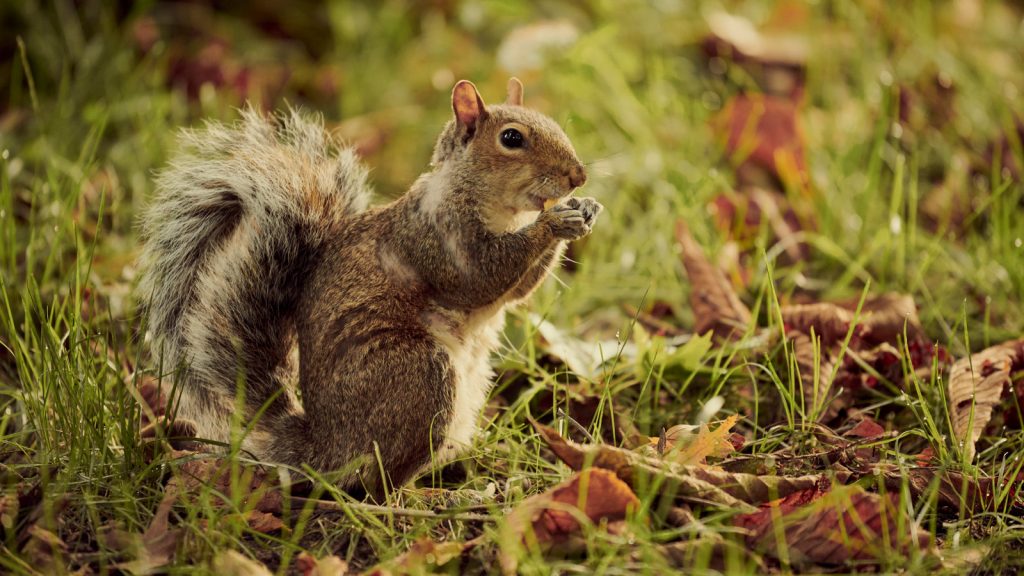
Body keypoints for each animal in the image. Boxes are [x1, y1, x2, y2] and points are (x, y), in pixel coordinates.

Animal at [136, 78, 598, 496]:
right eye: (511, 138)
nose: (578, 176)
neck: (495, 208)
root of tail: (324, 450)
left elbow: (517, 292)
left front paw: (584, 210)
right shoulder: (433, 240)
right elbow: (481, 278)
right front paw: (553, 221)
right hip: (417, 375)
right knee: (375, 481)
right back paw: (414, 499)